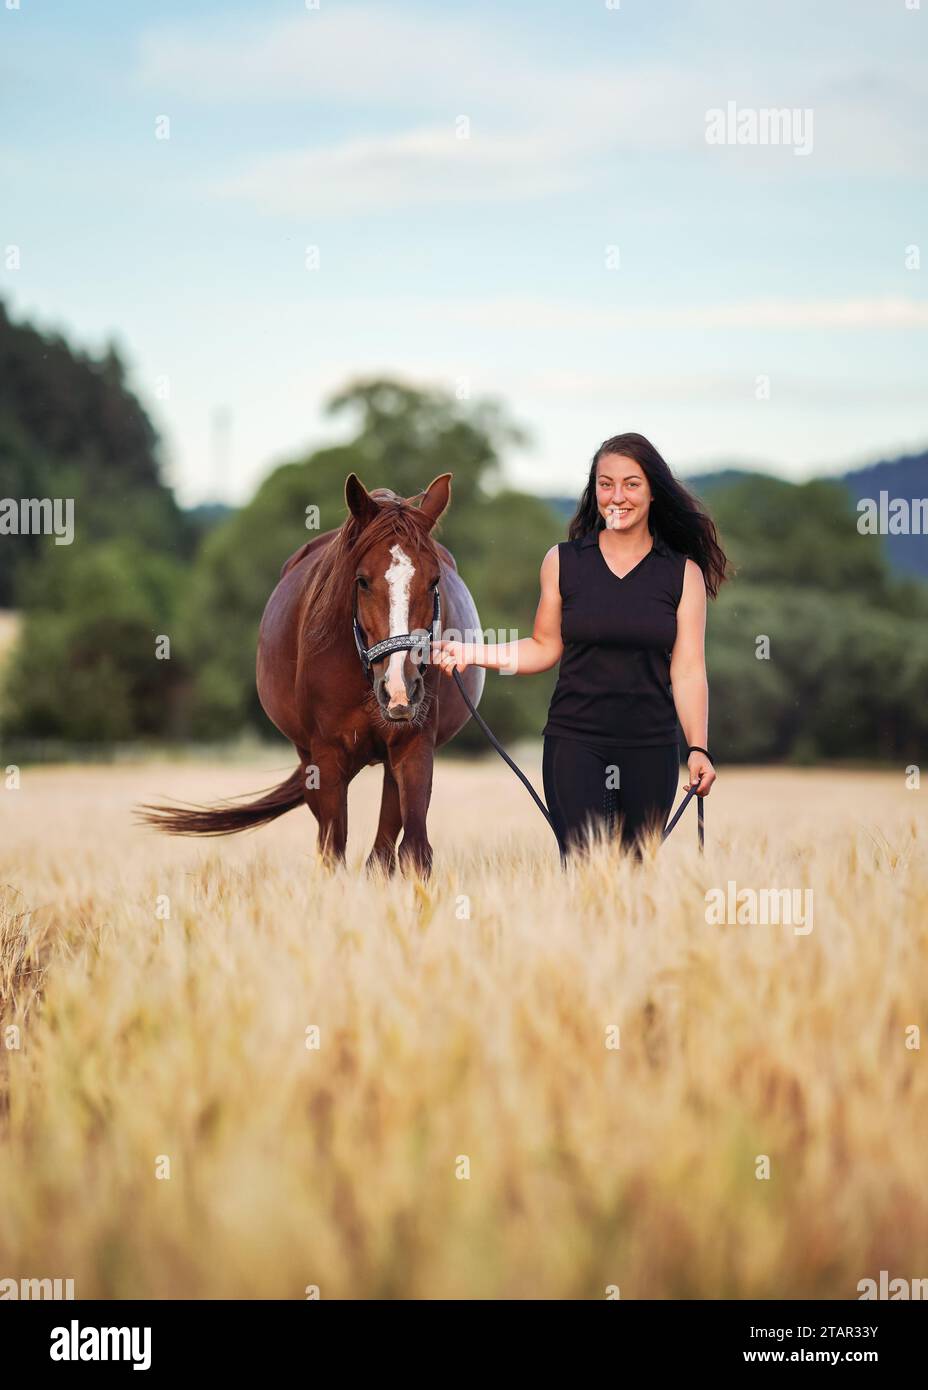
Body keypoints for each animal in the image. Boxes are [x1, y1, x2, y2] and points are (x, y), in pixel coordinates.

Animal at [140, 472, 486, 872]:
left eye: (433, 581)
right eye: (362, 580)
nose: (400, 689)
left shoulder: (414, 745)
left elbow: (413, 851)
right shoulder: (327, 756)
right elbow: (333, 851)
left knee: (383, 849)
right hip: (309, 759)